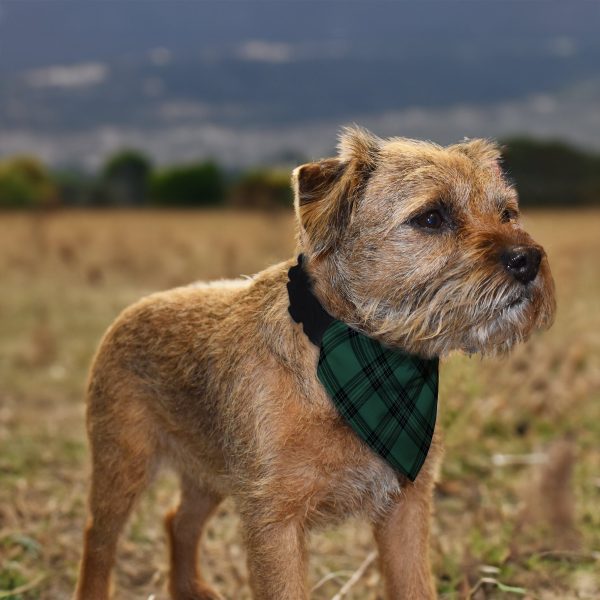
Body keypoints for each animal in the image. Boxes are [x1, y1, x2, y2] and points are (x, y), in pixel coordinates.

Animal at [75, 125, 556, 596]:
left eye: (508, 213)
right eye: (432, 217)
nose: (527, 259)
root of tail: (130, 312)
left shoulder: (406, 508)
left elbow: (414, 586)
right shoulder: (274, 522)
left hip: (207, 473)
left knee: (178, 521)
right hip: (123, 465)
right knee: (98, 538)